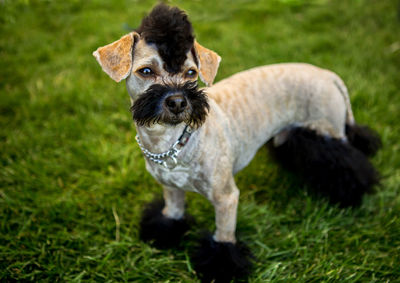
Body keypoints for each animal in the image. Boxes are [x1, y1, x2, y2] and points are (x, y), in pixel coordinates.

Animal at [91, 3, 382, 282]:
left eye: (191, 72)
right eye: (146, 71)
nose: (178, 101)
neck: (172, 144)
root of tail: (329, 75)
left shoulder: (226, 197)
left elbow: (224, 236)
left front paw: (221, 268)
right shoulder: (170, 189)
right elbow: (172, 214)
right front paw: (162, 236)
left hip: (329, 133)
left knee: (348, 164)